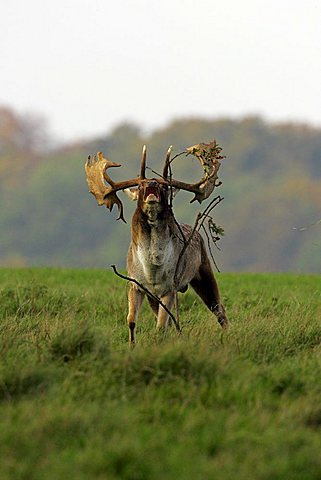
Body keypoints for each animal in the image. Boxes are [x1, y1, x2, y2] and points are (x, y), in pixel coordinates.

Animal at [85, 144, 228, 344]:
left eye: (164, 185)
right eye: (140, 185)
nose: (152, 183)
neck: (152, 269)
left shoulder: (169, 287)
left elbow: (160, 326)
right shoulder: (136, 285)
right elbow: (131, 320)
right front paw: (132, 346)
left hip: (204, 271)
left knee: (219, 309)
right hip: (155, 297)